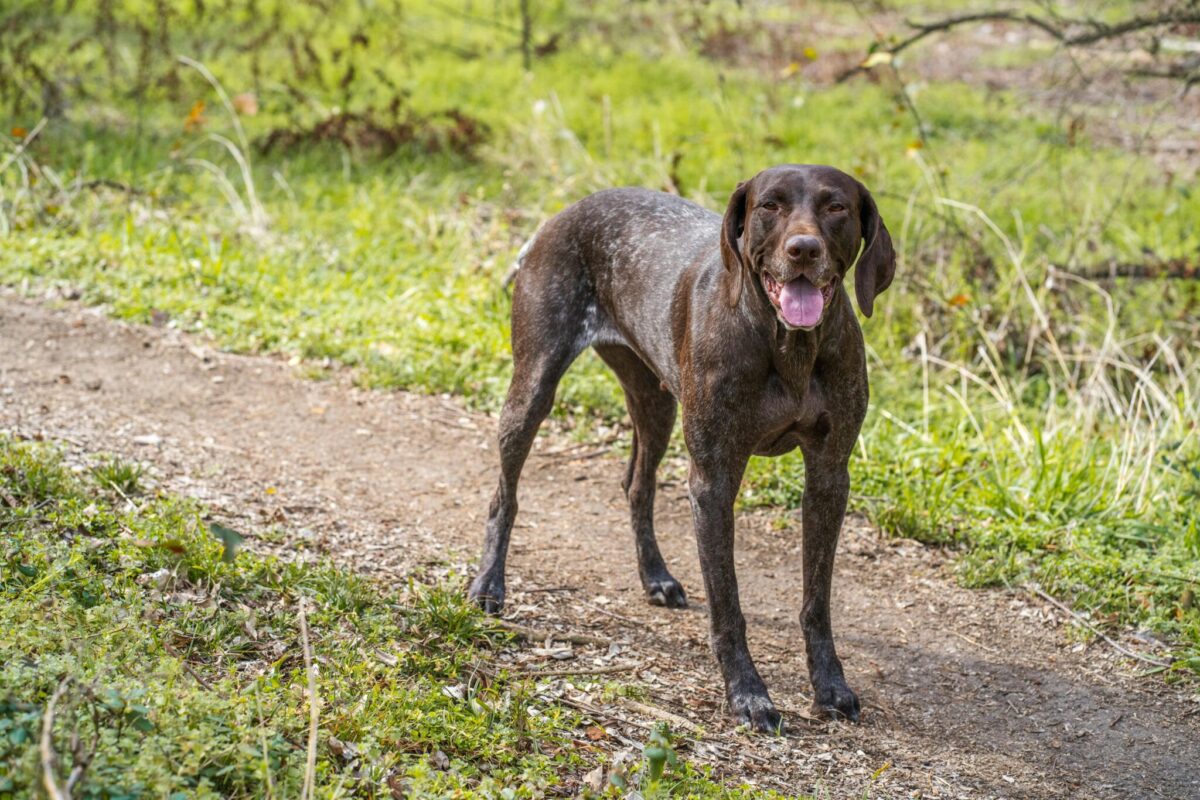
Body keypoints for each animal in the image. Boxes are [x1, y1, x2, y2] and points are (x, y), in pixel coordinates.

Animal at [472, 164, 897, 734]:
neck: (787, 344)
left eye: (836, 208)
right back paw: (488, 585)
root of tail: (564, 213)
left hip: (655, 403)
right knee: (506, 495)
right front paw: (747, 694)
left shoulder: (830, 477)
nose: (804, 250)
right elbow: (728, 605)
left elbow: (817, 601)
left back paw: (655, 576)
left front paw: (829, 685)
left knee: (636, 486)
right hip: (533, 387)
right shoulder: (714, 482)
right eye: (770, 206)